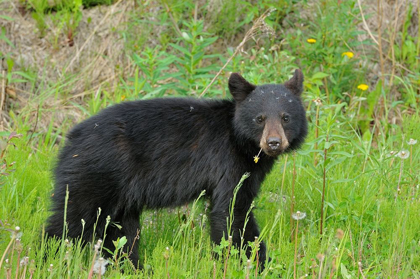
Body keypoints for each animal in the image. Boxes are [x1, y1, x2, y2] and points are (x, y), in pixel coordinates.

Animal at [45, 70, 308, 272]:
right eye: (259, 118)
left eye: (285, 117)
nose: (273, 143)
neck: (240, 141)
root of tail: (70, 140)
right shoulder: (228, 163)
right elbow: (232, 211)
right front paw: (257, 263)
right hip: (96, 174)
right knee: (70, 221)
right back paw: (48, 258)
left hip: (121, 195)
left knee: (121, 233)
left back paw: (135, 269)